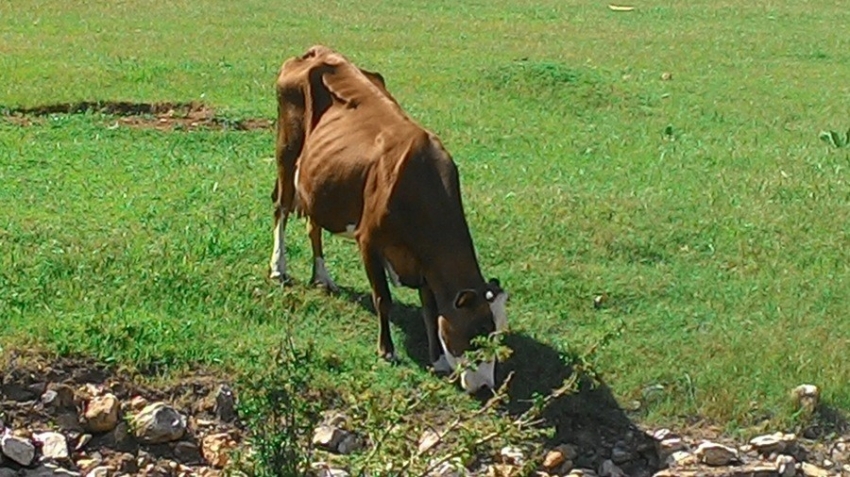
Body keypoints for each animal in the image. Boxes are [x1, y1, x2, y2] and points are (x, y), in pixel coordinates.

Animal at [266, 45, 504, 394]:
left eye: (497, 339)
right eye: (475, 338)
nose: (486, 387)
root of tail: (319, 51)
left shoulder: (424, 262)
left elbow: (430, 309)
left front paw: (437, 359)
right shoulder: (369, 241)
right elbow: (383, 298)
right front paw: (387, 351)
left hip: (318, 181)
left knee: (313, 224)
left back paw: (322, 277)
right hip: (287, 150)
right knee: (281, 209)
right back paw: (278, 267)